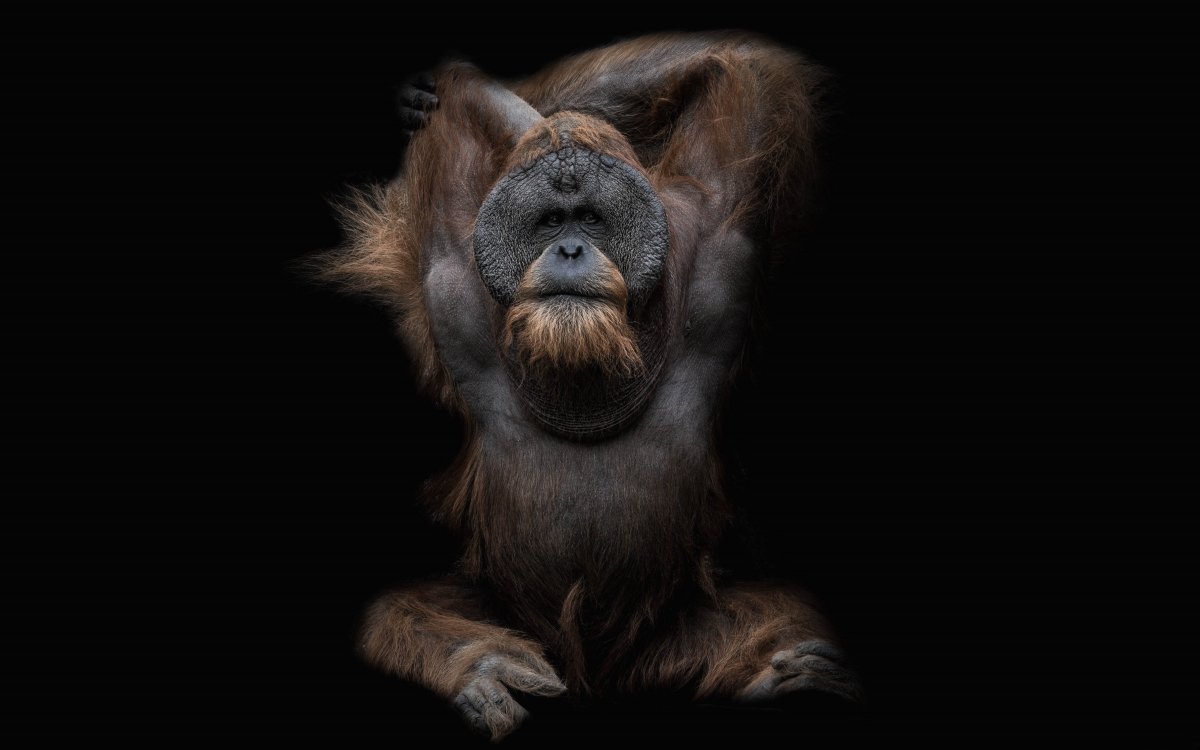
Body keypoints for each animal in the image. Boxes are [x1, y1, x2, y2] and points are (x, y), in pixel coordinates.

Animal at [318, 32, 861, 741]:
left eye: (594, 220)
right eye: (551, 221)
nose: (571, 250)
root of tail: (601, 675)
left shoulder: (717, 229)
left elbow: (739, 76)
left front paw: (436, 91)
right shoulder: (452, 261)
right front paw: (427, 94)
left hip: (666, 632)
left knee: (787, 621)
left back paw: (788, 672)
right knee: (392, 612)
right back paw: (482, 669)